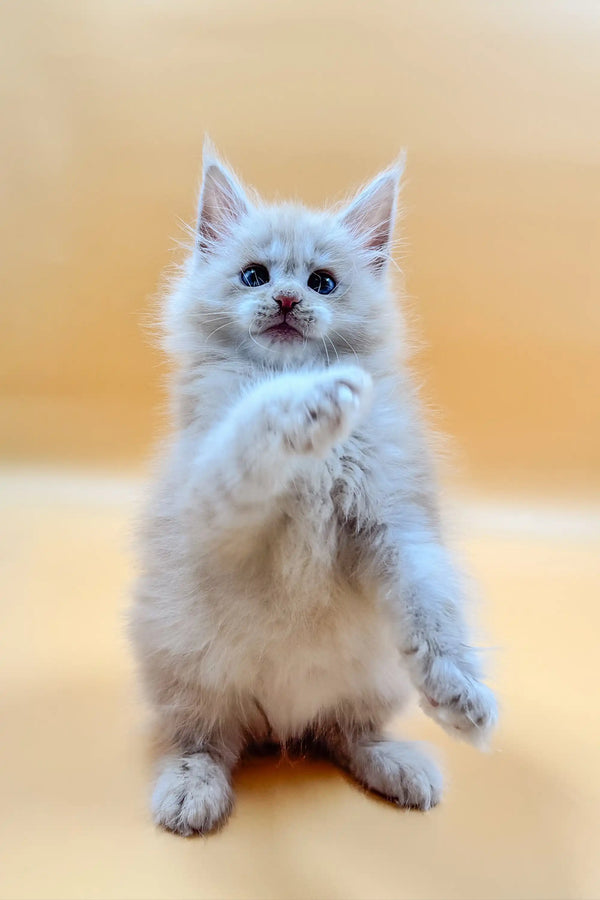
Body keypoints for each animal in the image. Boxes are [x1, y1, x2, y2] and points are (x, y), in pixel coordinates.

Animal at [130, 141, 496, 836]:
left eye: (322, 282)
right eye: (254, 276)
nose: (285, 301)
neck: (318, 463)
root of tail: (277, 726)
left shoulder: (397, 523)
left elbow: (433, 608)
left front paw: (462, 695)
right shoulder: (214, 506)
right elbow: (254, 428)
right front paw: (315, 398)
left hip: (371, 681)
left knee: (345, 732)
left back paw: (398, 765)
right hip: (188, 671)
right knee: (201, 741)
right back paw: (190, 793)